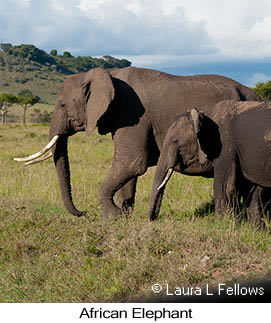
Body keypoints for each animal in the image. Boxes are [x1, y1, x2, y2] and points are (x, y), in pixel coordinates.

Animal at [13, 68, 260, 220]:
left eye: (63, 104)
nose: (83, 213)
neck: (108, 74)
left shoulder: (133, 114)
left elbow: (131, 164)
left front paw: (111, 217)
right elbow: (128, 171)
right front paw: (125, 214)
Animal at [149, 100, 271, 228]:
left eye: (175, 141)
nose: (153, 219)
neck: (207, 112)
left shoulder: (225, 146)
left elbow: (226, 187)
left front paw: (221, 225)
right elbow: (251, 188)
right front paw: (256, 230)